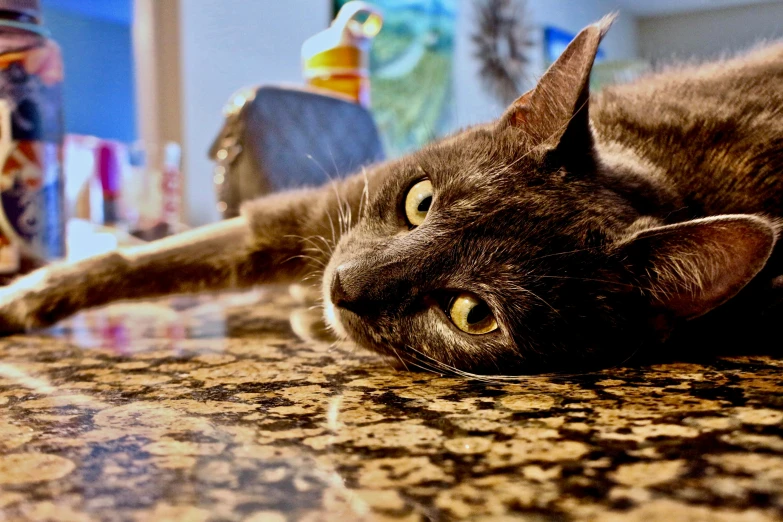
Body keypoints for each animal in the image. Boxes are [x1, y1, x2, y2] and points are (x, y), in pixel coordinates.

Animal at [1, 15, 783, 374]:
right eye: (418, 201)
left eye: (472, 314)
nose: (343, 286)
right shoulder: (306, 214)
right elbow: (148, 260)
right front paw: (24, 296)